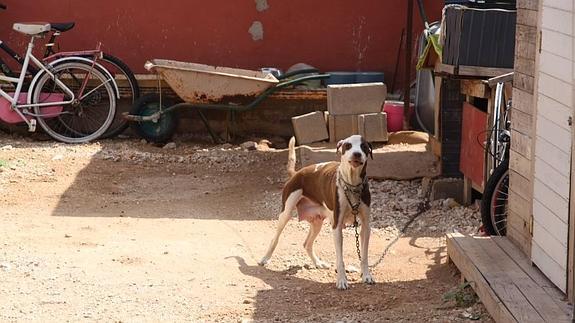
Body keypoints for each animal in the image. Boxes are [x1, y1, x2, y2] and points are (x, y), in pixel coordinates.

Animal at [258, 134, 376, 292]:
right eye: (348, 145)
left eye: (364, 146)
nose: (357, 153)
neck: (352, 185)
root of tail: (297, 174)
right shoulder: (337, 227)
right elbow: (340, 259)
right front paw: (341, 280)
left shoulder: (365, 227)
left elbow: (364, 256)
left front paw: (366, 275)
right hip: (285, 214)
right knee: (275, 238)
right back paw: (265, 258)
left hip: (317, 222)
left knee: (307, 244)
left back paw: (318, 263)